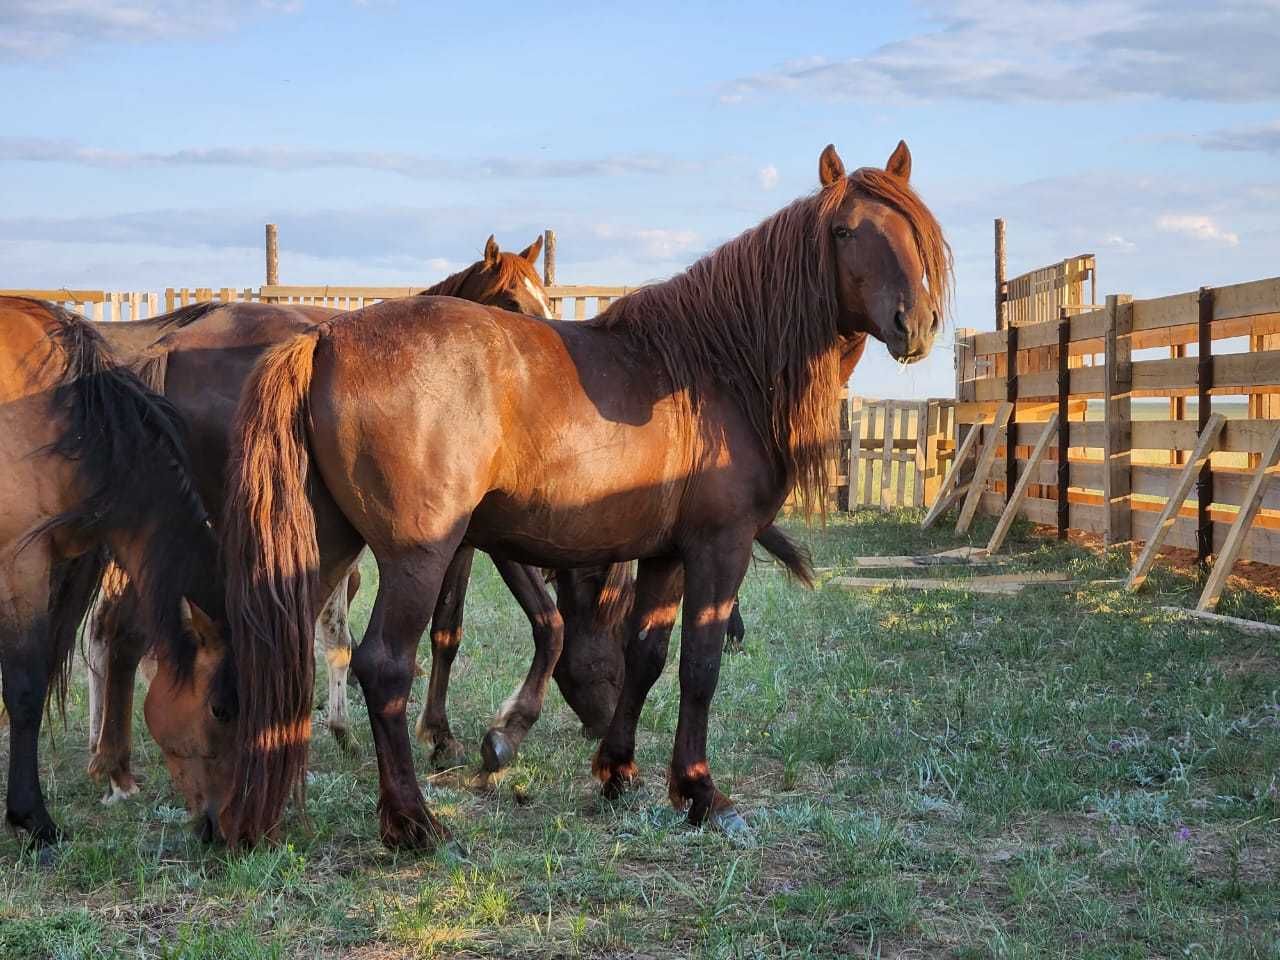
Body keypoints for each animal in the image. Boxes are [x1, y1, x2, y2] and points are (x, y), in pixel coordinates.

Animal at [152, 140, 952, 849]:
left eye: (916, 231)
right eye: (844, 231)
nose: (915, 324)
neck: (716, 368)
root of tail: (321, 341)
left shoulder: (665, 553)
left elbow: (646, 656)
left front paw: (620, 771)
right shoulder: (718, 547)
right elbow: (699, 666)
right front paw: (701, 793)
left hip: (319, 547)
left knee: (266, 650)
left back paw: (243, 813)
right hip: (416, 555)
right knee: (382, 665)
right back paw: (412, 824)